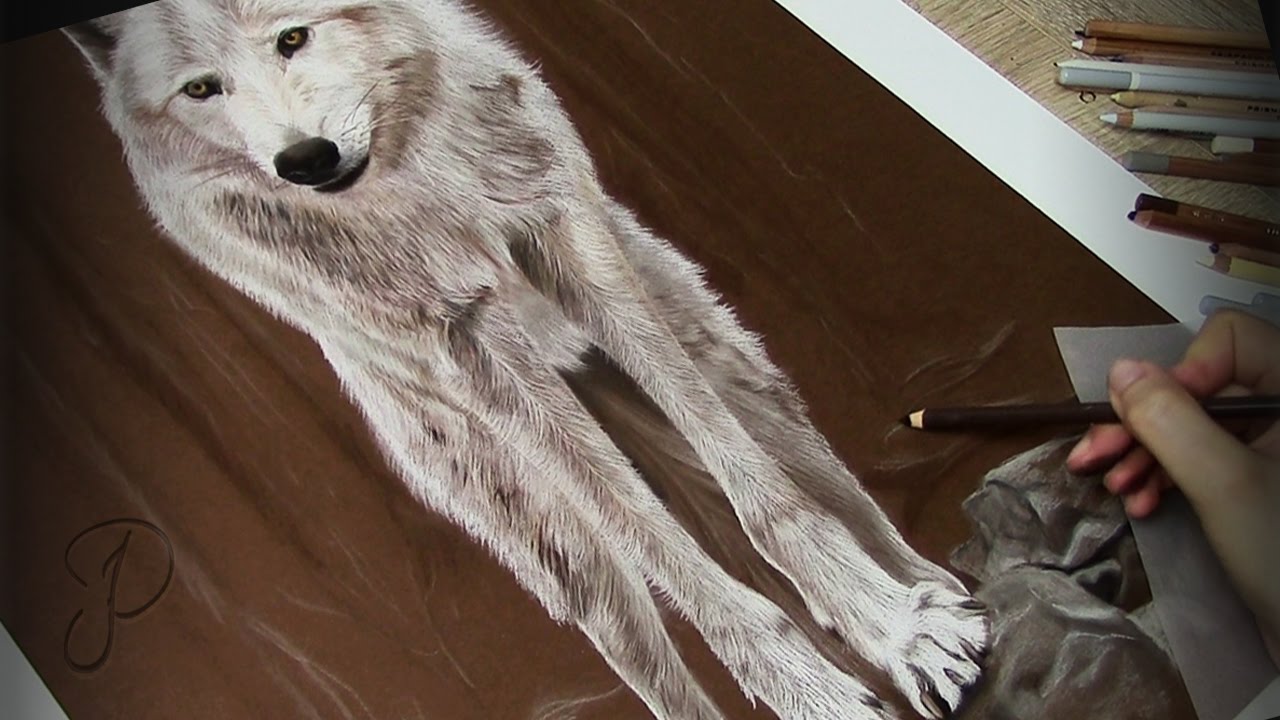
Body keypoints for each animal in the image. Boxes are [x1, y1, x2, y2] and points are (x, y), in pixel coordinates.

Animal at [62, 1, 988, 717]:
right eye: (201, 89)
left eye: (292, 38)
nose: (305, 160)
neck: (413, 191)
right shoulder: (474, 351)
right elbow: (686, 572)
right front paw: (811, 687)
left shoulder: (566, 237)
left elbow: (776, 507)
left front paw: (899, 629)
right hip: (570, 558)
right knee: (658, 664)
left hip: (742, 379)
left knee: (834, 493)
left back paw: (939, 594)